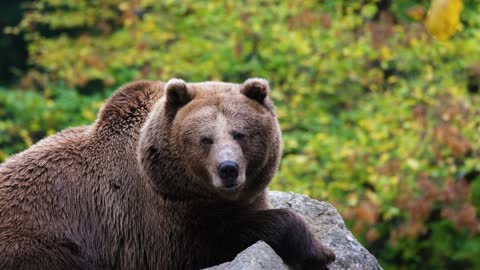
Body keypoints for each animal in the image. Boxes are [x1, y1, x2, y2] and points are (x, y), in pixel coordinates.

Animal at [0, 78, 334, 270]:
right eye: (205, 138)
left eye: (239, 134)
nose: (228, 169)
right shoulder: (155, 219)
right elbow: (213, 241)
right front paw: (319, 251)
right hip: (34, 242)